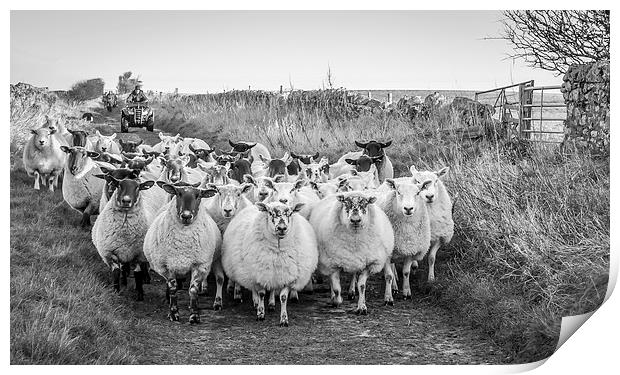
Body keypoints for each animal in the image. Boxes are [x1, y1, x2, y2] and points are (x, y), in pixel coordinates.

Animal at [144, 183, 222, 324]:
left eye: (198, 196)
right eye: (178, 193)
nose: (186, 216)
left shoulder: (199, 265)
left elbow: (193, 290)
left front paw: (194, 315)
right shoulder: (167, 266)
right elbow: (173, 290)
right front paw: (173, 313)